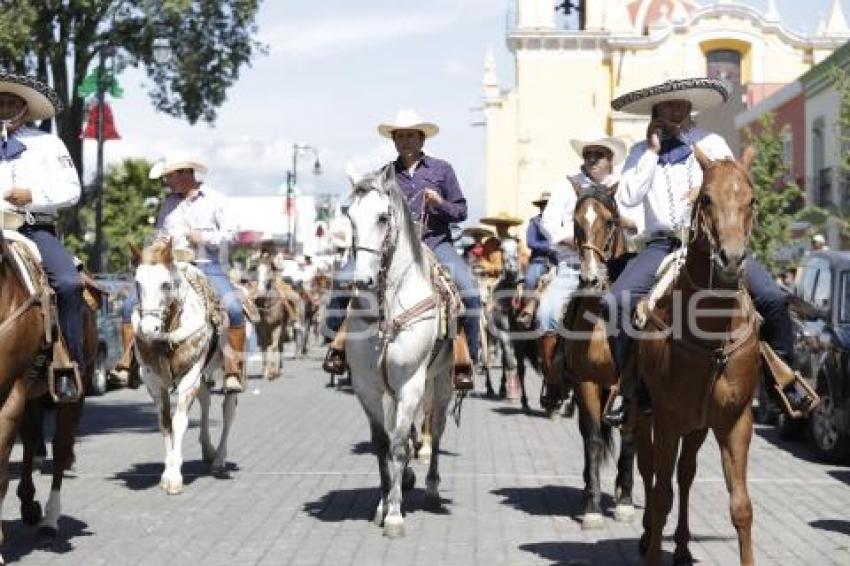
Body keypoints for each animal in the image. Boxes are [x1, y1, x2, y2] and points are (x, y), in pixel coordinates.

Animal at [632, 148, 760, 566]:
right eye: (705, 199)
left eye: (751, 200)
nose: (731, 259)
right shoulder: (667, 418)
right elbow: (660, 495)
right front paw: (653, 550)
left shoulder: (735, 421)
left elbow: (741, 506)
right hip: (642, 417)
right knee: (649, 471)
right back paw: (647, 537)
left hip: (699, 427)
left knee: (685, 473)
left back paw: (684, 546)